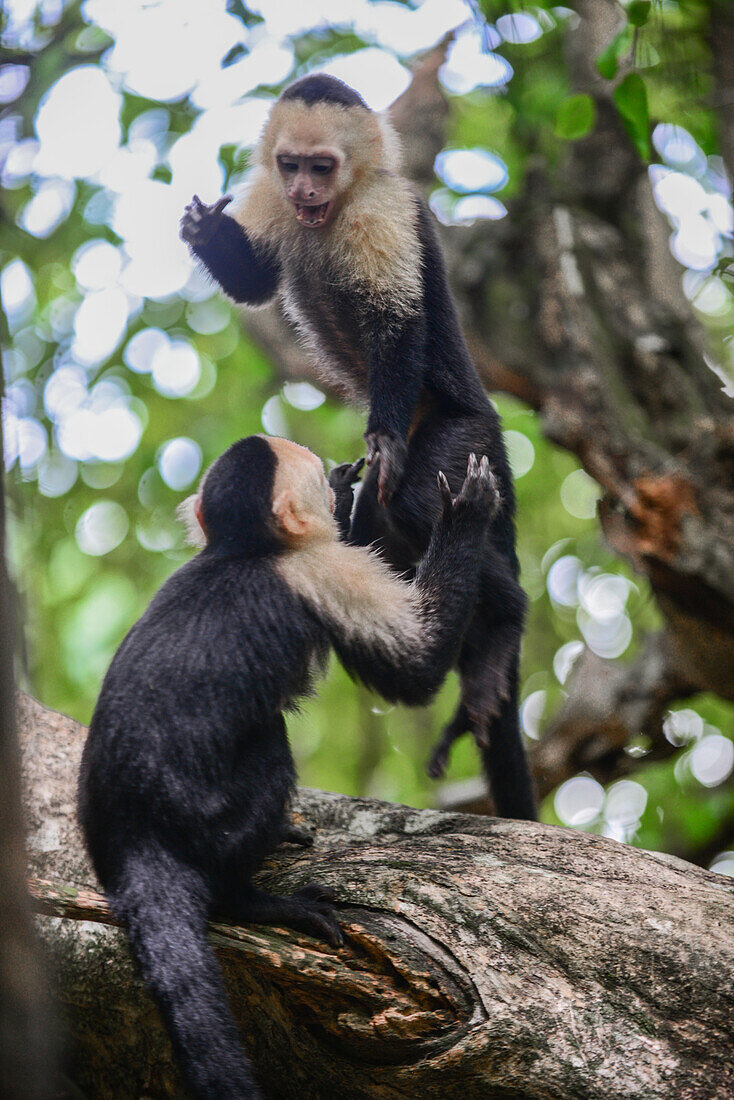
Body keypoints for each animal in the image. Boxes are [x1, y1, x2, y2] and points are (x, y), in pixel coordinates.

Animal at [79, 435, 499, 1100]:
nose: (333, 480)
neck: (244, 549)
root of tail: (134, 840)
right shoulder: (323, 572)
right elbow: (416, 666)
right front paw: (463, 513)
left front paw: (353, 488)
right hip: (207, 821)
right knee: (269, 744)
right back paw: (249, 902)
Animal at [178, 73, 534, 822]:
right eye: (291, 165)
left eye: (323, 167)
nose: (304, 192)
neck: (335, 209)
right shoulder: (269, 198)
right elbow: (256, 283)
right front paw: (206, 230)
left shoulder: (384, 210)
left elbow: (396, 321)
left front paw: (383, 438)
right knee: (386, 533)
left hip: (466, 435)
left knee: (415, 506)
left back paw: (504, 619)